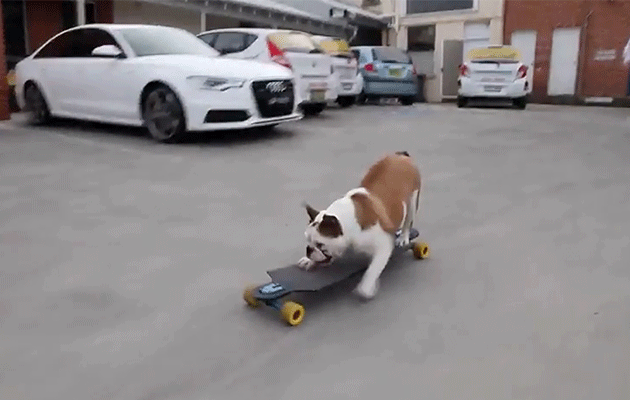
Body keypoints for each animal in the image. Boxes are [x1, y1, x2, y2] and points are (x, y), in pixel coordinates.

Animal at [298, 152, 422, 298]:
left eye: (320, 244)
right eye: (308, 240)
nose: (309, 250)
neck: (349, 223)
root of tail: (400, 156)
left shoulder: (383, 247)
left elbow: (372, 271)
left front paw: (366, 288)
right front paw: (308, 260)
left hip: (412, 201)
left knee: (408, 221)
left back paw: (403, 237)